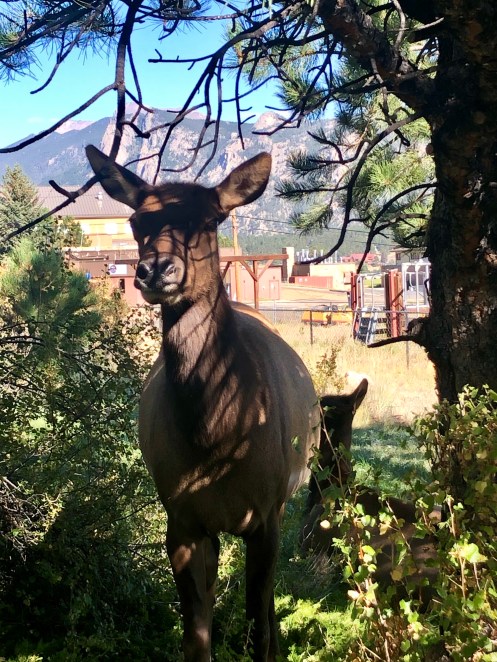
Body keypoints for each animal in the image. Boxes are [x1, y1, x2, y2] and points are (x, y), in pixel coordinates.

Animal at [86, 146, 321, 662]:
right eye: (137, 220)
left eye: (211, 218)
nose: (156, 269)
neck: (215, 442)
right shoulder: (182, 519)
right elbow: (196, 636)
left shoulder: (266, 513)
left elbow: (258, 627)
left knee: (266, 608)